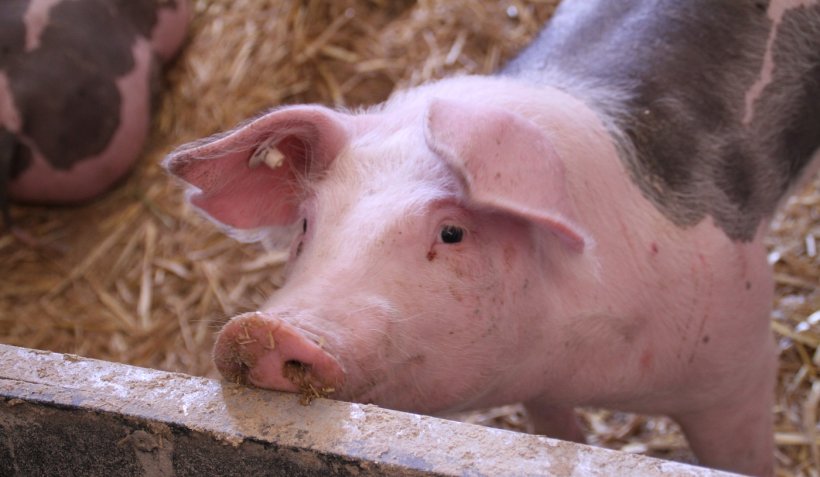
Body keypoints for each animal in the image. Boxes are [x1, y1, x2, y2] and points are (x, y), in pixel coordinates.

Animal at [165, 1, 820, 475]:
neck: (568, 355)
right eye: (306, 224)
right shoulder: (542, 386)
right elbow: (556, 429)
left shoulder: (738, 364)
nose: (261, 330)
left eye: (452, 232)